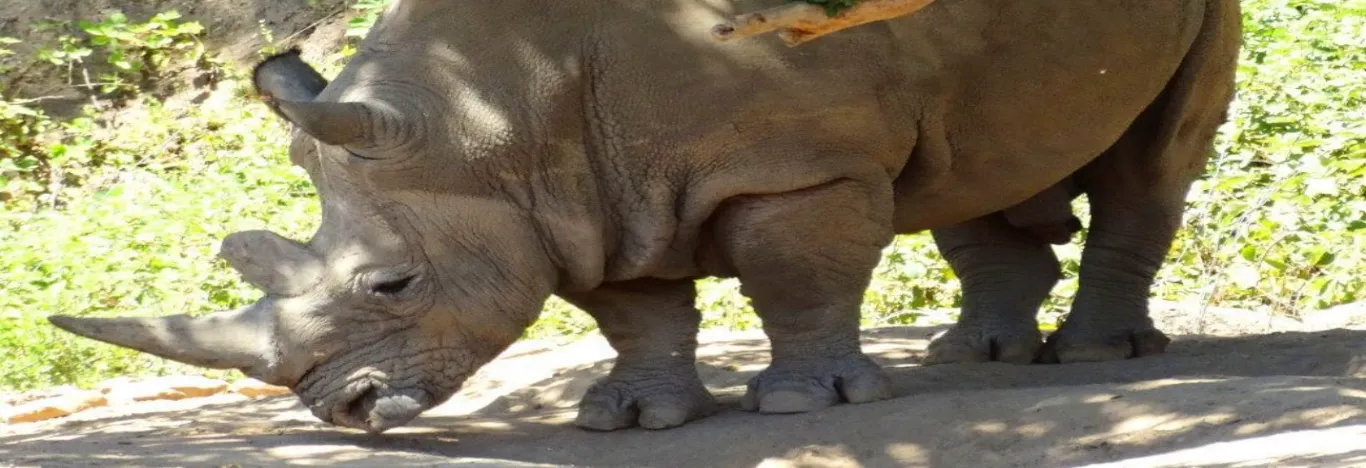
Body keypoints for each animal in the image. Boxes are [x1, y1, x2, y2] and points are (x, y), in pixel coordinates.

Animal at [48, 0, 1242, 434]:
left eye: (393, 285)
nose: (344, 410)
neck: (492, 117)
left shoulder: (795, 165)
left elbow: (793, 275)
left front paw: (800, 406)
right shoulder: (579, 192)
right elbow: (632, 308)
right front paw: (631, 420)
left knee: (1156, 155)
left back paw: (1100, 357)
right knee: (969, 152)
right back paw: (979, 357)